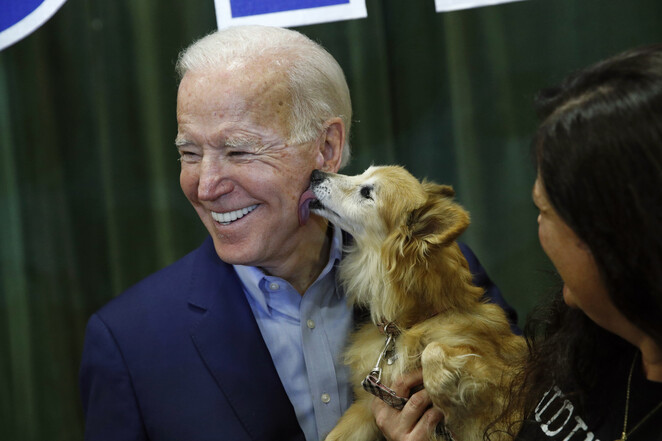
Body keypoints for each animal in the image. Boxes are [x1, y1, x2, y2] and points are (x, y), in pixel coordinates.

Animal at [312, 166, 528, 440]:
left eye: (366, 192)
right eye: (362, 173)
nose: (315, 173)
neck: (409, 324)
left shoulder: (500, 384)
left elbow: (432, 351)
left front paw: (443, 386)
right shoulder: (369, 405)